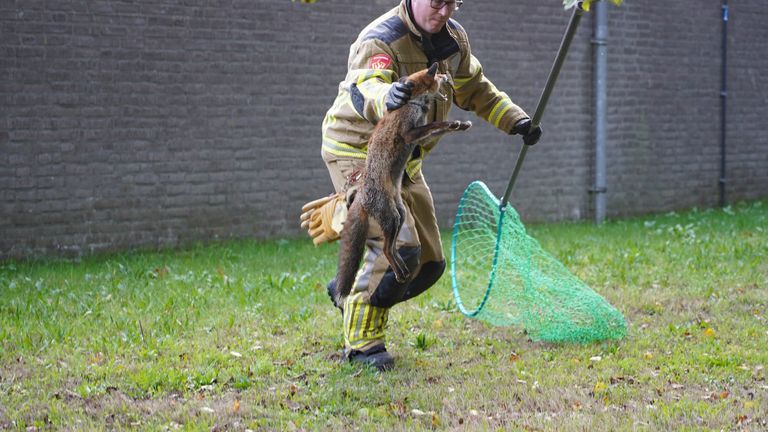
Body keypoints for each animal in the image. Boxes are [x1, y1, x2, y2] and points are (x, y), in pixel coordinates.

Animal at [332, 63, 472, 308]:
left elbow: (440, 127)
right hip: (391, 217)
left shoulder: (420, 135)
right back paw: (399, 273)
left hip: (399, 214)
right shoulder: (409, 133)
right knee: (386, 250)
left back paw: (404, 270)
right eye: (438, 75)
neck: (413, 102)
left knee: (392, 248)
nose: (447, 76)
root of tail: (361, 195)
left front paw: (460, 124)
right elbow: (436, 124)